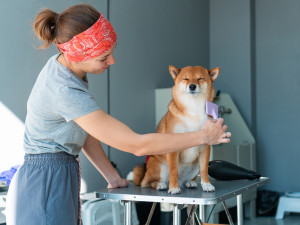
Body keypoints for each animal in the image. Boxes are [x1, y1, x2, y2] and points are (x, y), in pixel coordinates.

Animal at [134, 64, 220, 193]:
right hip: (161, 167)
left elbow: (205, 169)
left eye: (200, 78)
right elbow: (173, 170)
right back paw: (161, 185)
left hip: (195, 167)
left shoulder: (205, 147)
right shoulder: (173, 147)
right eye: (186, 79)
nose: (192, 86)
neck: (193, 109)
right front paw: (174, 188)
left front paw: (206, 185)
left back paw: (190, 182)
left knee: (188, 179)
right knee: (147, 183)